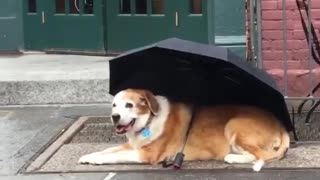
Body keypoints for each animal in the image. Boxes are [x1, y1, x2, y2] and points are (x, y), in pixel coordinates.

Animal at [78, 88, 290, 172]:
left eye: (129, 105)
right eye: (114, 105)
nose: (114, 117)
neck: (149, 121)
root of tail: (281, 125)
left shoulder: (146, 154)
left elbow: (114, 155)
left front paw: (96, 160)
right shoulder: (134, 145)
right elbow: (108, 149)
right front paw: (89, 156)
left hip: (234, 124)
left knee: (261, 155)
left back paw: (231, 157)